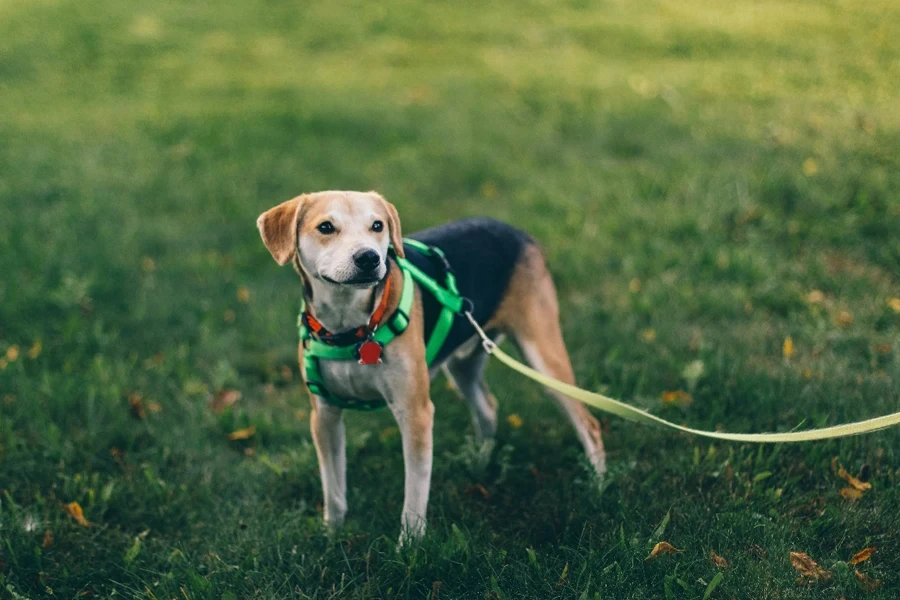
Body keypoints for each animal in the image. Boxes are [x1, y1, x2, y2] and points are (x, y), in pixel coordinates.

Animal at [255, 191, 604, 544]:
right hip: (463, 365)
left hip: (543, 356)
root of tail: (516, 231)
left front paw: (409, 545)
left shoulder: (415, 413)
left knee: (589, 424)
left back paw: (597, 486)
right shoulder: (324, 415)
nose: (369, 258)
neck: (352, 328)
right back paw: (480, 461)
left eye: (377, 226)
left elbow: (414, 492)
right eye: (326, 227)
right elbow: (333, 488)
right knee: (488, 407)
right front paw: (332, 535)